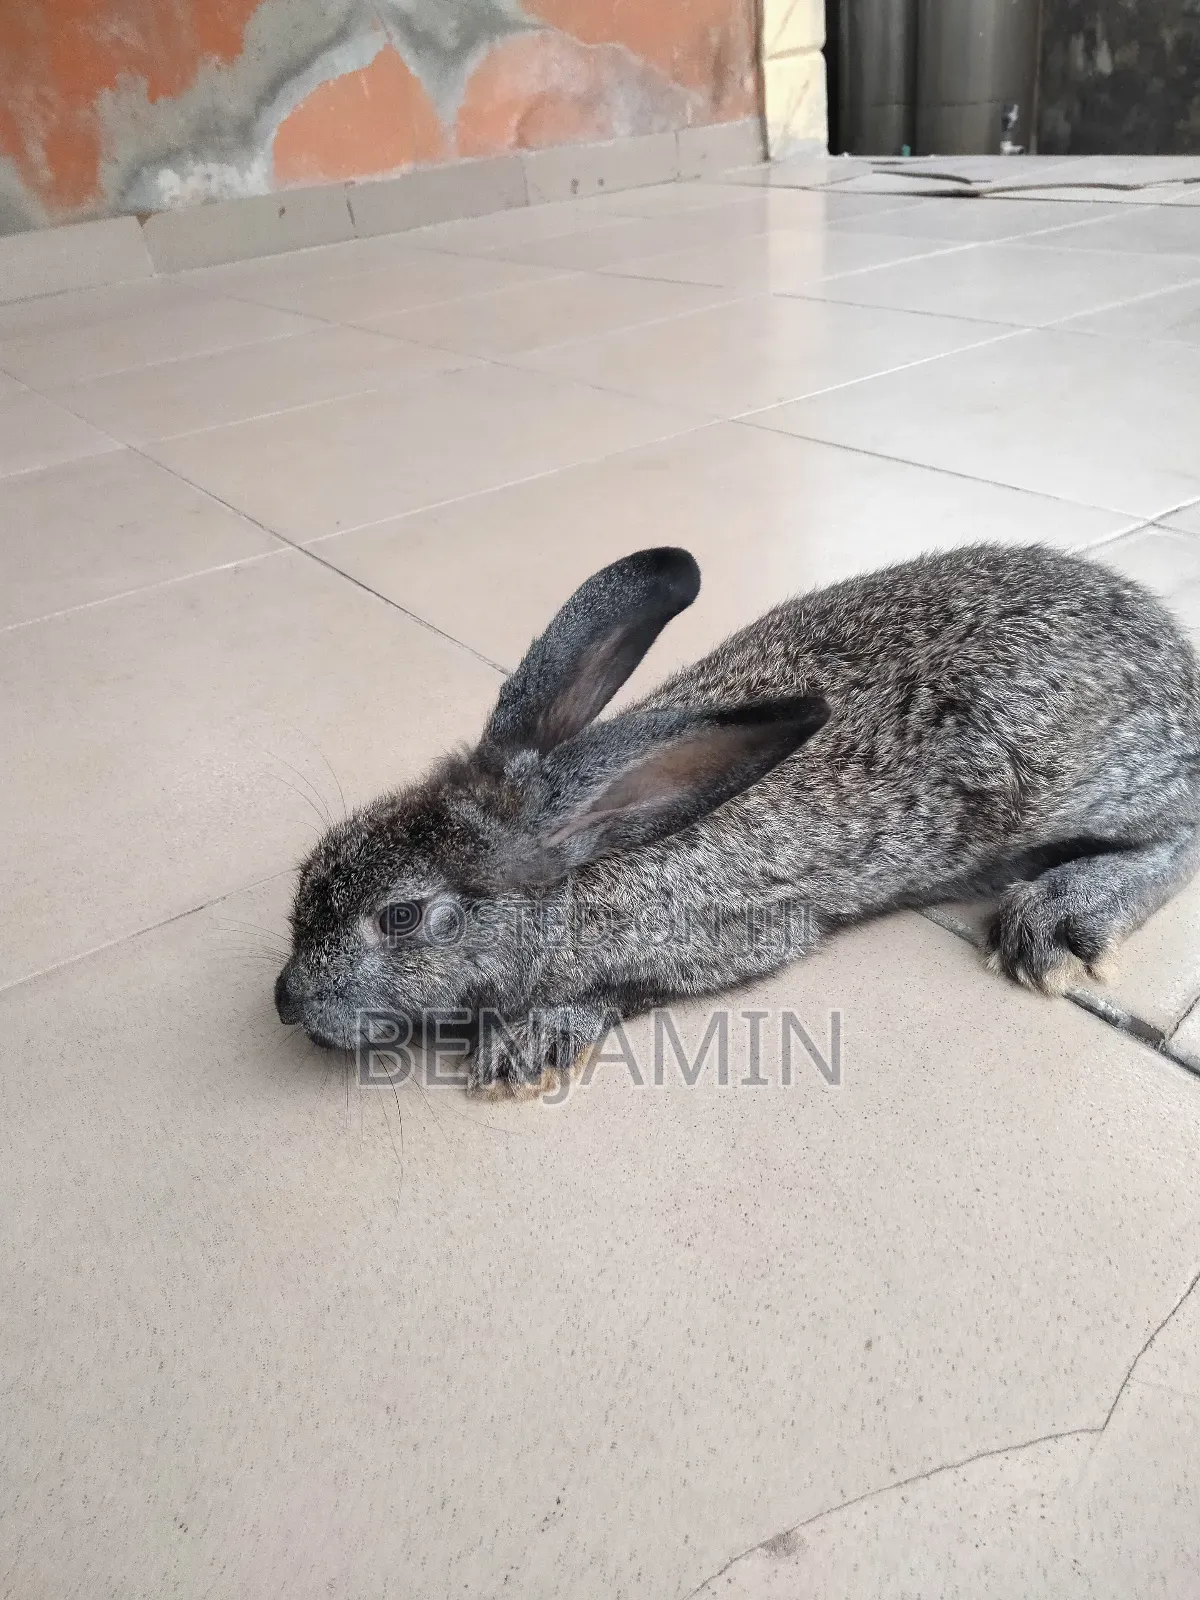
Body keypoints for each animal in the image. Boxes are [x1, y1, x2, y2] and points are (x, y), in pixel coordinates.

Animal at [275, 543, 1200, 1097]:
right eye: (317, 862)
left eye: (400, 917)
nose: (285, 1001)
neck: (586, 851)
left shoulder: (737, 939)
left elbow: (620, 989)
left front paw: (529, 1043)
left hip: (1079, 775)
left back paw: (1066, 915)